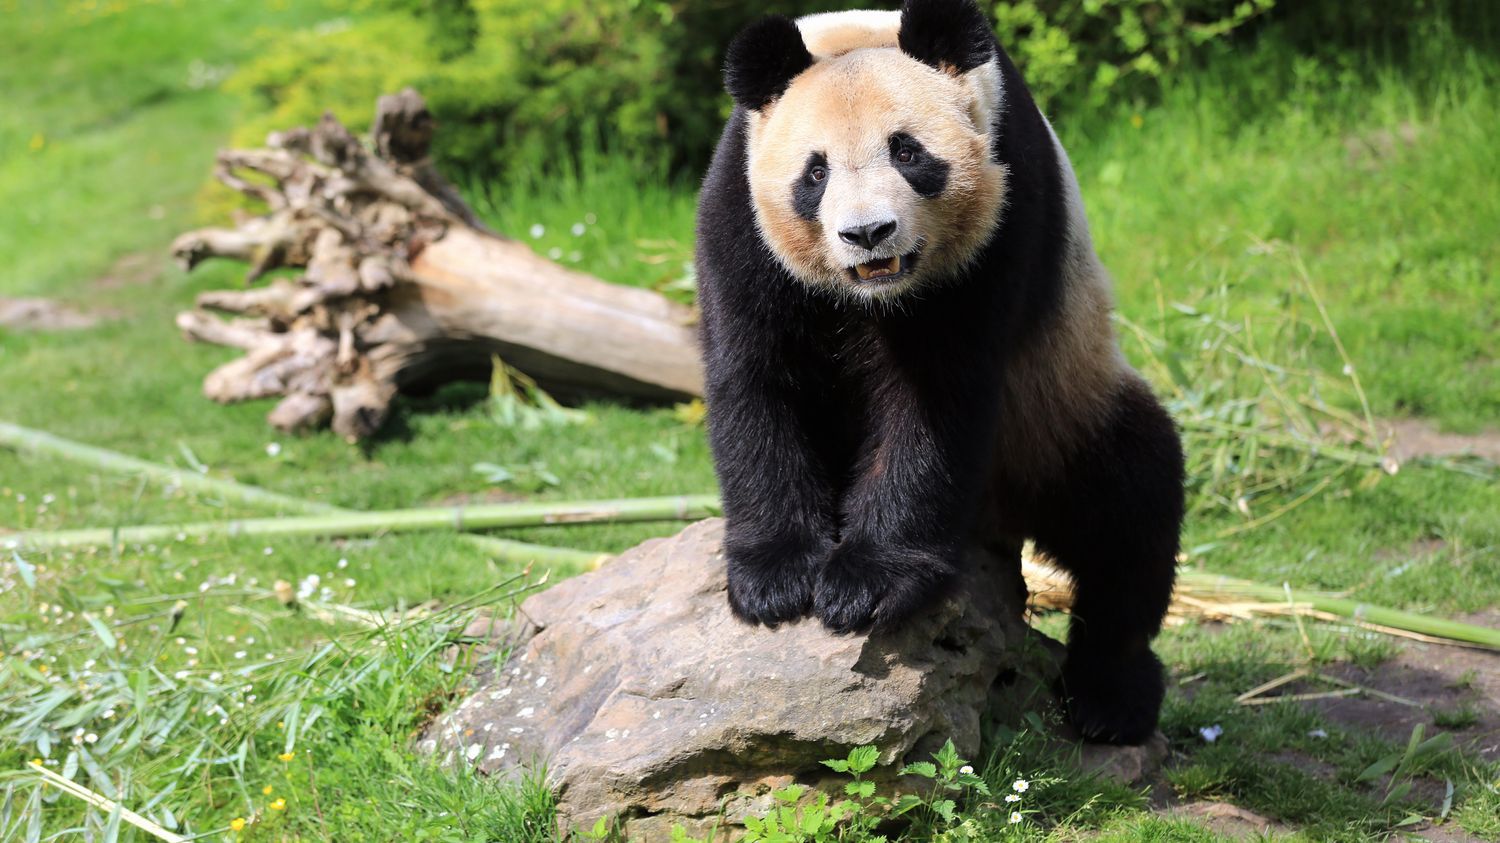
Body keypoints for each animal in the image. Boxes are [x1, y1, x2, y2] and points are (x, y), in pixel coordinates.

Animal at [693, 0, 1182, 741]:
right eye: (815, 172)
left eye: (908, 152)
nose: (868, 234)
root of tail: (1003, 517)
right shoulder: (740, 212)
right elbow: (757, 377)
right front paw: (774, 580)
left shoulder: (1004, 215)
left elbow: (936, 395)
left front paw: (867, 584)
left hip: (1062, 404)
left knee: (1131, 506)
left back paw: (1110, 699)